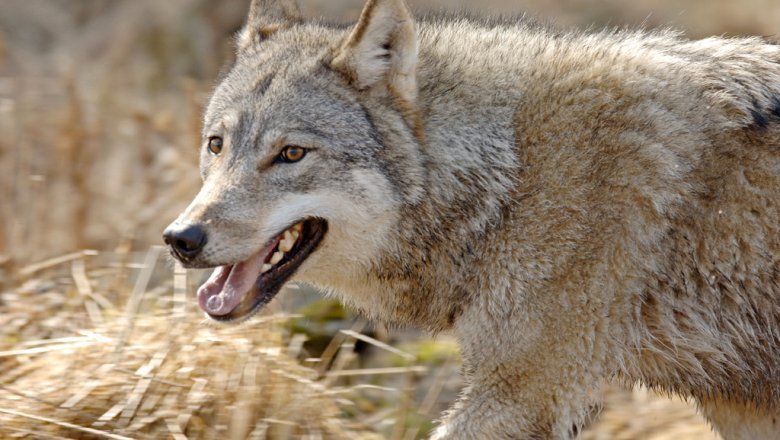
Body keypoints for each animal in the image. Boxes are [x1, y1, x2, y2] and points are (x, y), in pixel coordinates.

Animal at [165, 0, 780, 436]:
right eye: (216, 145)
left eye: (291, 154)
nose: (180, 238)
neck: (508, 174)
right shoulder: (741, 407)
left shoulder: (523, 394)